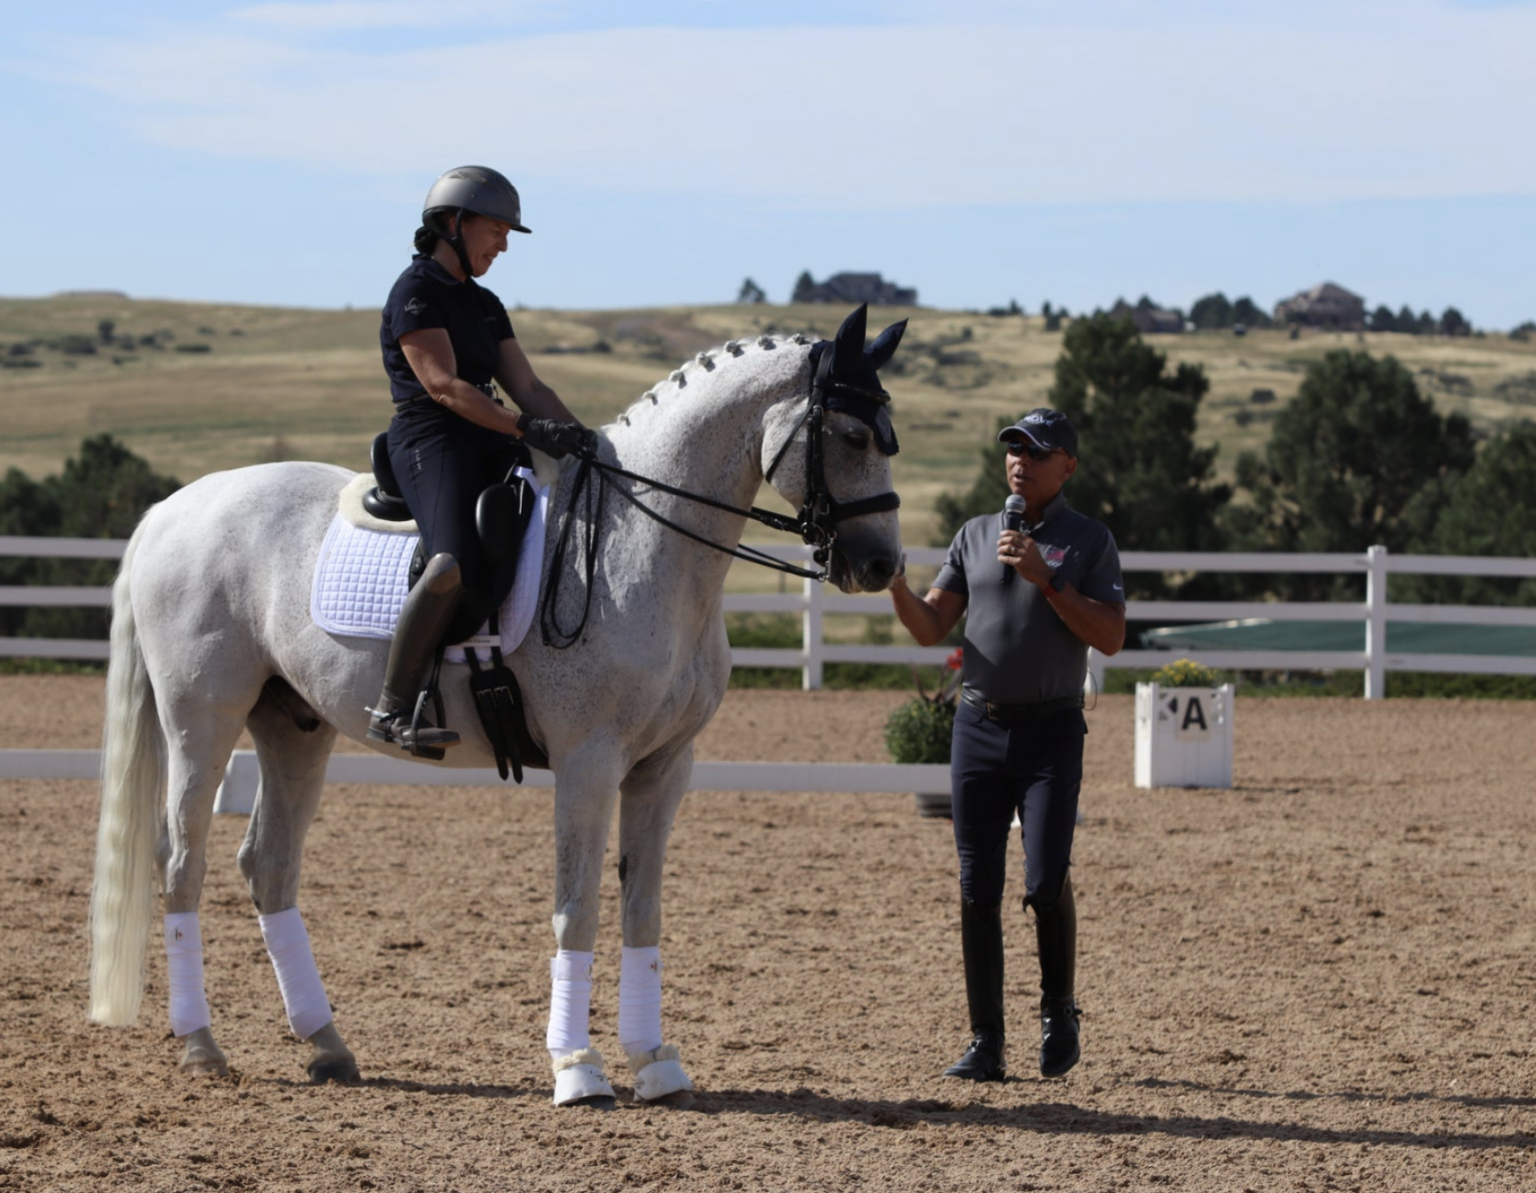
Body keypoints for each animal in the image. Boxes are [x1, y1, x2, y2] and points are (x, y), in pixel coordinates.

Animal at [89, 307, 903, 1105]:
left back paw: (327, 1044)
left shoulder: (666, 765)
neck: (642, 544)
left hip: (295, 725)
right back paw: (202, 1045)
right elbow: (577, 909)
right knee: (182, 861)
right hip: (202, 718)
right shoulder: (588, 761)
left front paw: (655, 1063)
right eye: (854, 436)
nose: (880, 566)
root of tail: (169, 509)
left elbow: (642, 908)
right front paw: (577, 1067)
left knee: (268, 866)